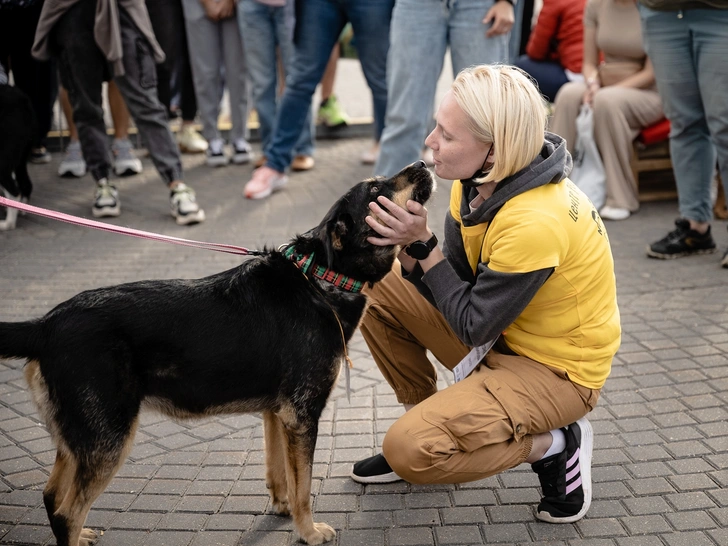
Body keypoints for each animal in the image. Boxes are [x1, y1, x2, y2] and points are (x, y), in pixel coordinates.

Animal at [0, 162, 432, 544]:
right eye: (376, 190)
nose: (422, 162)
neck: (320, 278)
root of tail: (46, 324)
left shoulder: (277, 415)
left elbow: (281, 474)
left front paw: (284, 510)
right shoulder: (302, 415)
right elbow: (304, 485)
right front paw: (307, 531)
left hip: (78, 438)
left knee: (52, 496)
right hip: (107, 438)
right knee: (67, 512)